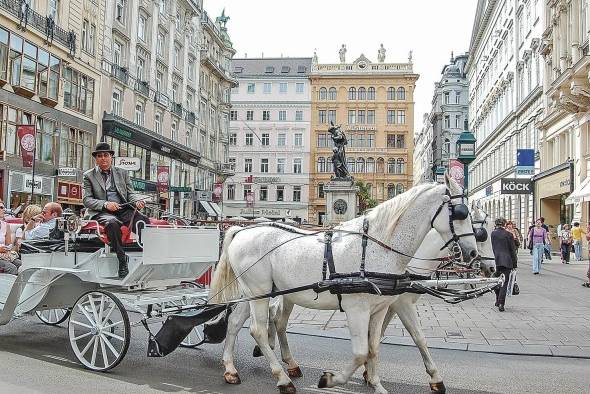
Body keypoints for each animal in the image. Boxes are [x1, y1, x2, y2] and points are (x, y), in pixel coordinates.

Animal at [210, 177, 478, 392]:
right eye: (461, 213)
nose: (473, 253)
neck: (378, 246)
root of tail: (242, 230)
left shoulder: (380, 309)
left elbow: (374, 347)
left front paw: (376, 384)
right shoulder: (357, 309)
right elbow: (360, 352)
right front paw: (331, 379)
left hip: (254, 293)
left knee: (236, 323)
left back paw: (231, 369)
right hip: (260, 293)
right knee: (257, 330)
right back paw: (283, 378)